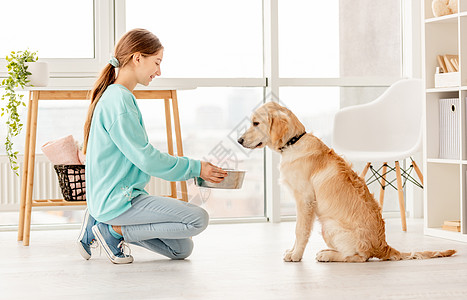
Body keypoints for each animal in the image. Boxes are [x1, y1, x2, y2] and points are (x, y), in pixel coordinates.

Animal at [239, 102, 456, 262]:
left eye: (256, 123)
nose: (239, 140)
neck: (295, 142)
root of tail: (383, 246)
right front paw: (292, 252)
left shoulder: (305, 200)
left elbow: (300, 230)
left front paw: (295, 255)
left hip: (328, 225)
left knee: (359, 257)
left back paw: (327, 254)